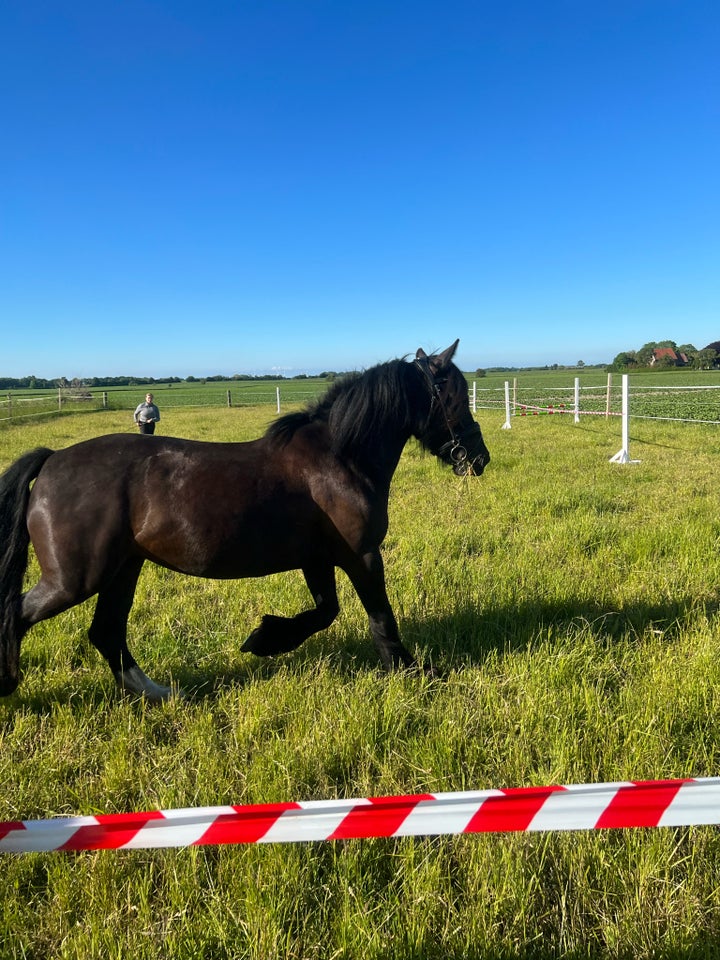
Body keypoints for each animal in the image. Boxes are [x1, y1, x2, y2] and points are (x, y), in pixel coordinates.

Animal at [0, 342, 490, 700]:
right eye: (453, 396)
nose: (479, 458)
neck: (340, 458)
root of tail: (52, 462)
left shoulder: (318, 558)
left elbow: (325, 612)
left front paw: (265, 638)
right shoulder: (361, 555)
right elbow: (380, 616)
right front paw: (410, 670)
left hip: (122, 569)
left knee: (106, 633)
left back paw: (159, 694)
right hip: (75, 578)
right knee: (20, 616)